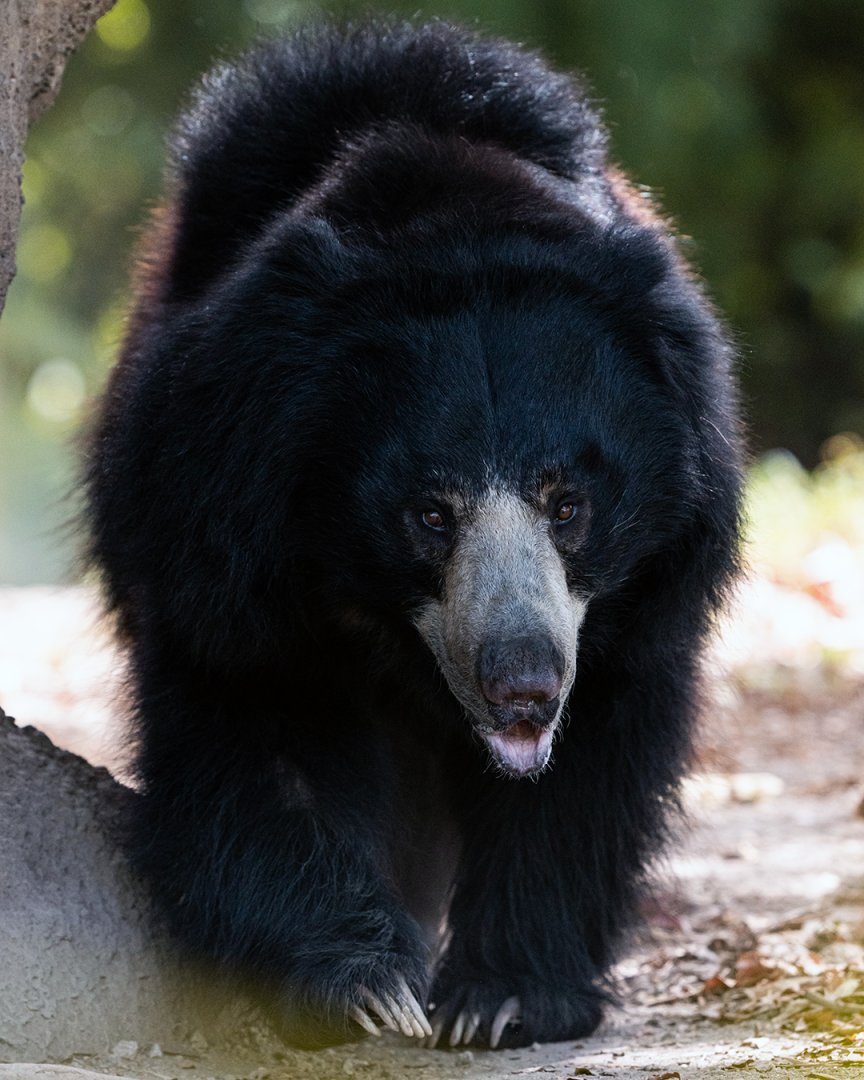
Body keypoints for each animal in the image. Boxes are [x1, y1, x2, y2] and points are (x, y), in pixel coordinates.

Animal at [83, 20, 743, 1051]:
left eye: (569, 505)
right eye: (429, 514)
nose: (524, 685)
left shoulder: (649, 593)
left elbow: (588, 773)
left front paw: (500, 998)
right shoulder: (217, 533)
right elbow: (263, 728)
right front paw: (367, 984)